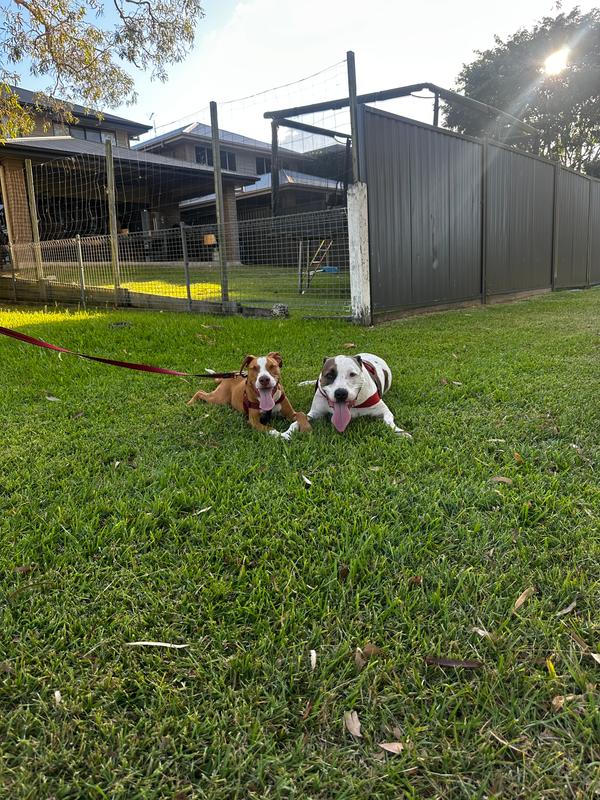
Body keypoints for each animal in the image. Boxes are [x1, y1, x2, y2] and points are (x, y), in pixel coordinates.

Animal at [282, 353, 411, 439]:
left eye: (352, 374)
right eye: (329, 375)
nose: (341, 393)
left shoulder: (384, 411)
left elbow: (389, 421)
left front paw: (400, 432)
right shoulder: (314, 413)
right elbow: (297, 421)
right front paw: (286, 433)